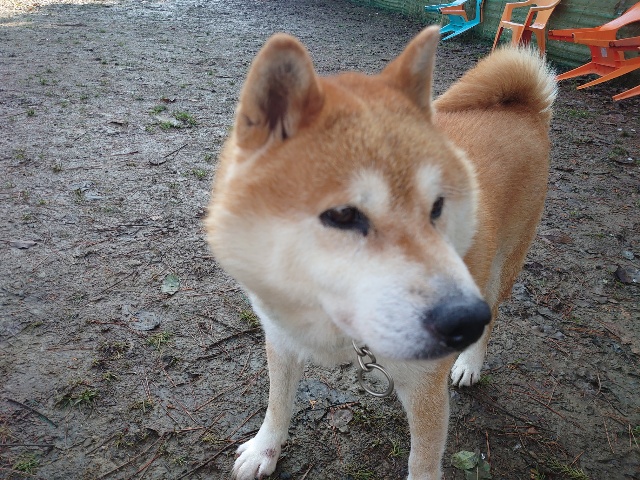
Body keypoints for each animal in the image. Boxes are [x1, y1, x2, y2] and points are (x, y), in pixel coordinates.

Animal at [205, 26, 556, 480]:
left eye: (437, 207)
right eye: (343, 214)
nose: (465, 320)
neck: (339, 331)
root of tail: (524, 108)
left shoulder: (426, 388)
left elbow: (422, 463)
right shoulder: (281, 339)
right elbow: (277, 404)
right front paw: (265, 449)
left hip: (501, 270)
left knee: (495, 315)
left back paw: (470, 363)